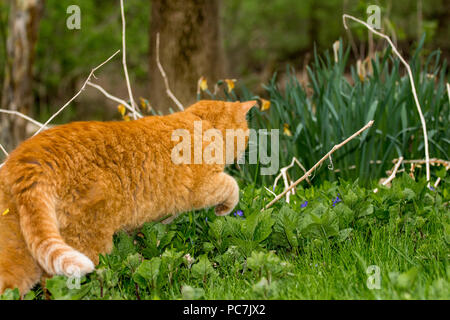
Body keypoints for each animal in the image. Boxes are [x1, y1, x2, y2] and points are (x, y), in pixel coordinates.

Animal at [0, 100, 255, 296]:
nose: (246, 148)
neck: (201, 123)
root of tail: (32, 157)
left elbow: (150, 240)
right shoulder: (203, 187)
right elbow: (232, 186)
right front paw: (224, 208)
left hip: (23, 248)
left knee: (11, 283)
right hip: (86, 242)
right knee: (57, 284)